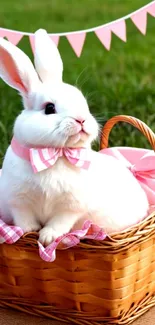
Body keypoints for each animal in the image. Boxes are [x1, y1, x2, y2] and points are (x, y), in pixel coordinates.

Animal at [0, 29, 149, 244]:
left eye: (83, 103)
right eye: (49, 108)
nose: (81, 120)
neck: (56, 155)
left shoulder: (70, 208)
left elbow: (60, 222)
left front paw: (47, 237)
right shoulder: (18, 202)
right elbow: (24, 219)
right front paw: (30, 231)